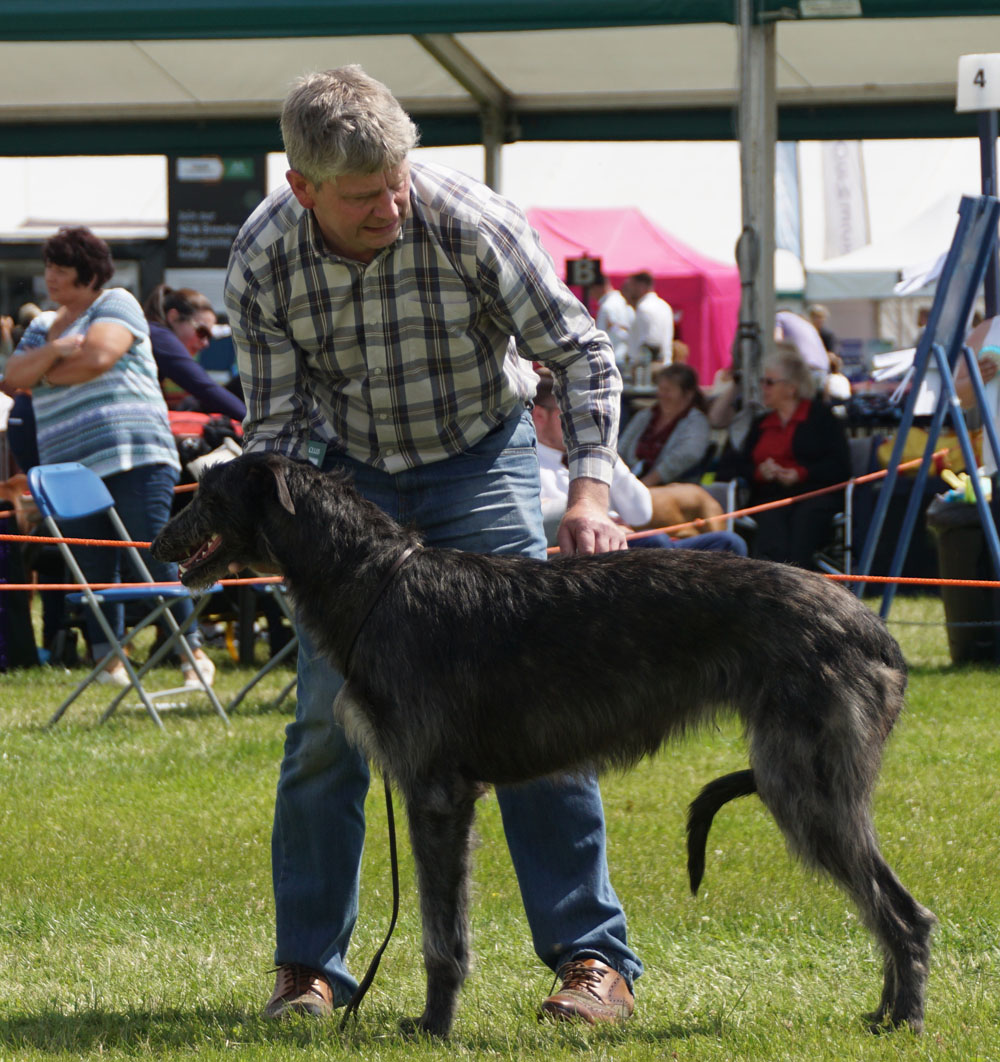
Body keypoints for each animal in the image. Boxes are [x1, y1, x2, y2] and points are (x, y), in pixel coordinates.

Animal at [152, 454, 934, 1036]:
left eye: (210, 494)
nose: (156, 546)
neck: (376, 583)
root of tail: (878, 633)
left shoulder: (437, 793)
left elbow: (441, 934)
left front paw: (433, 1027)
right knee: (891, 907)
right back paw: (883, 1013)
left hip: (805, 783)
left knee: (901, 913)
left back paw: (905, 1021)